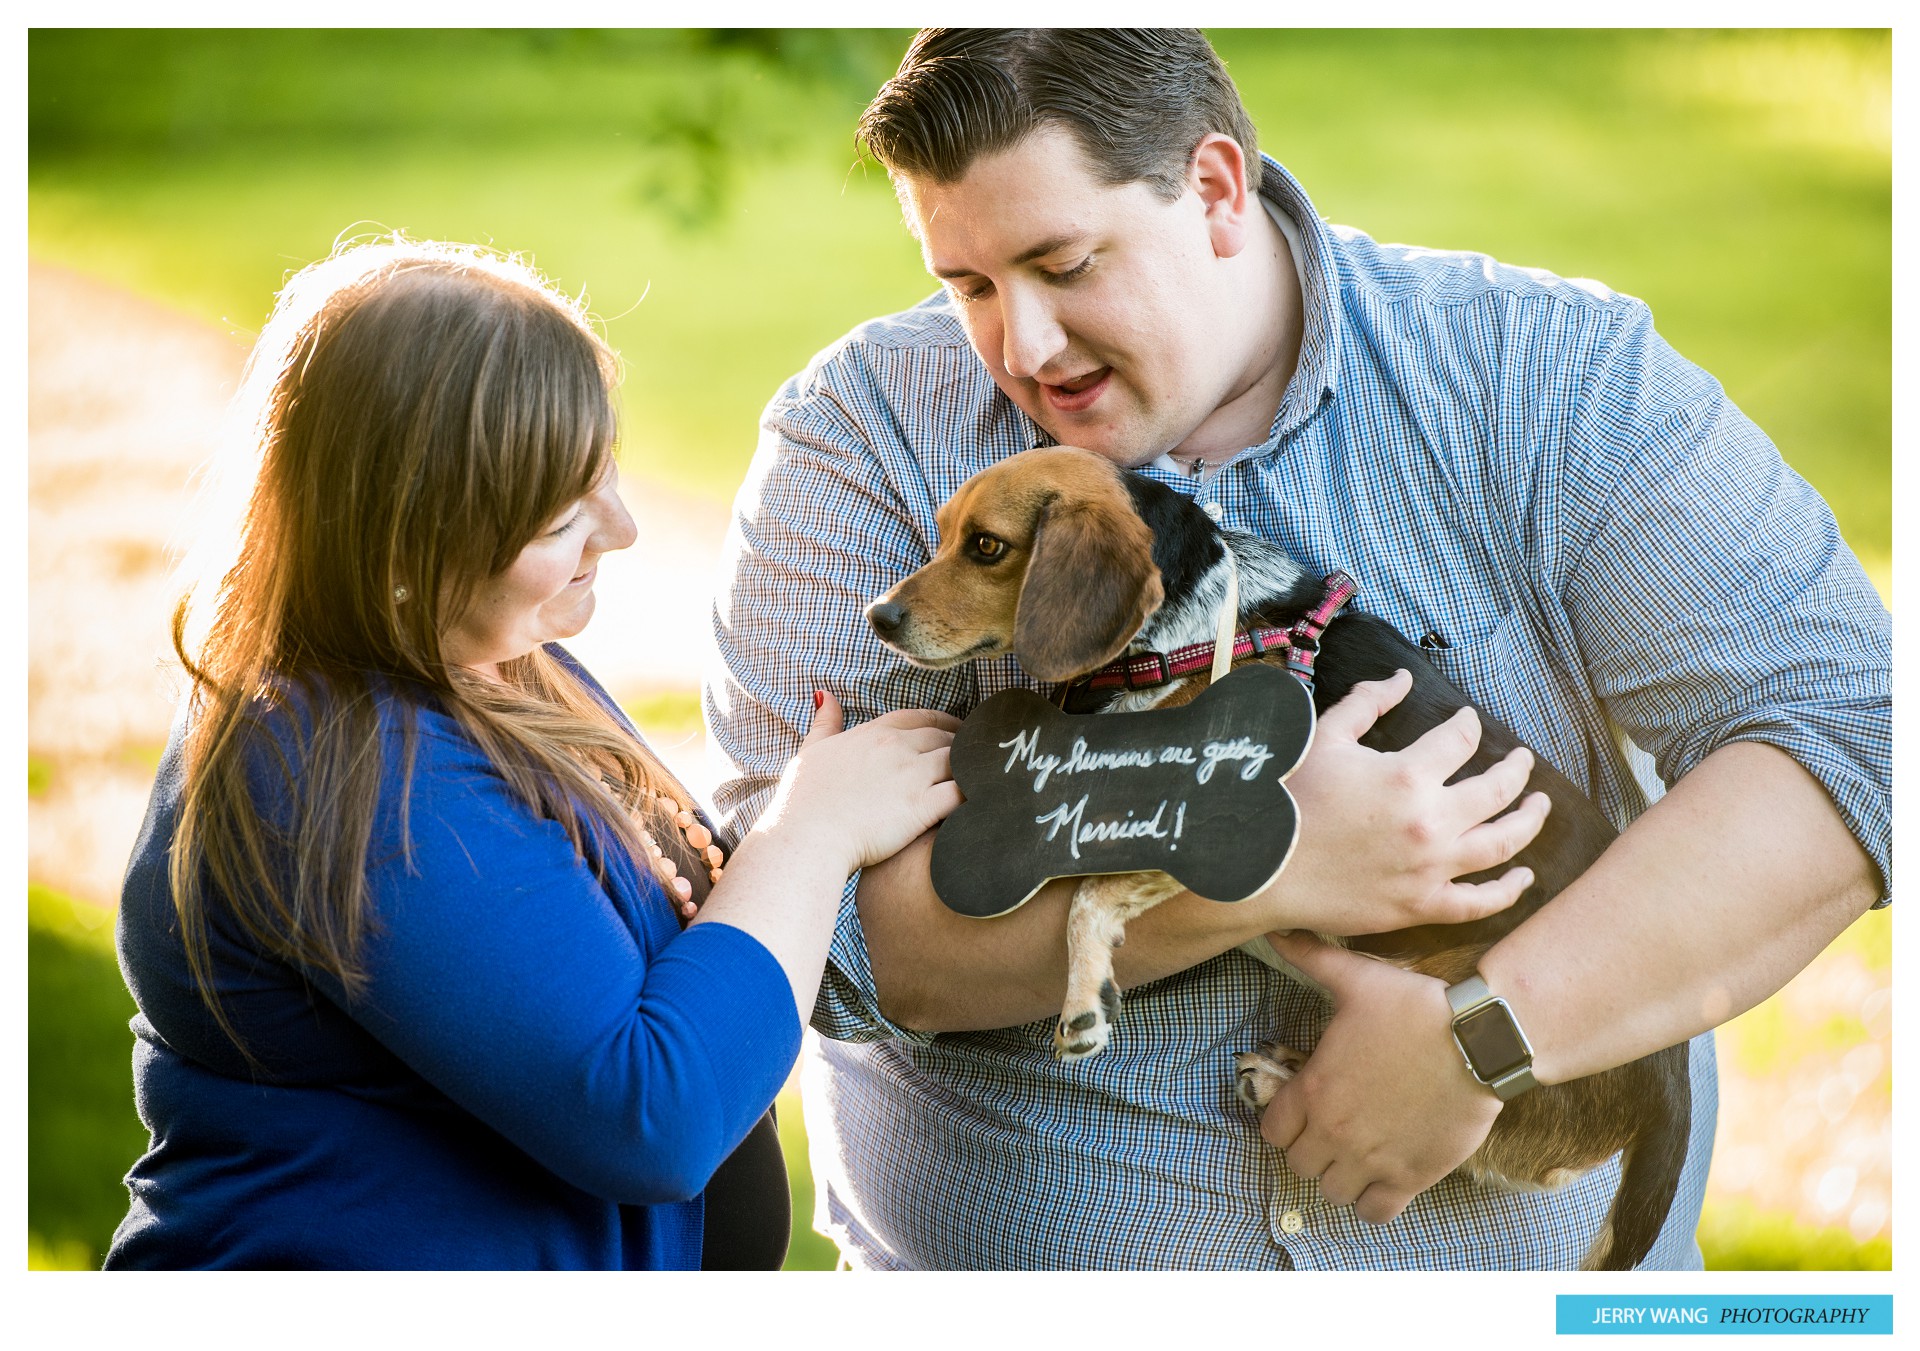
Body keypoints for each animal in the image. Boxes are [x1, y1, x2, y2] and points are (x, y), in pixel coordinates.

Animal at [871, 443, 1697, 1266]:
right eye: (943, 535)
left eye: (987, 547)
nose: (880, 616)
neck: (1188, 631)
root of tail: (1672, 1078)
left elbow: (1088, 894)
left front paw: (1083, 999)